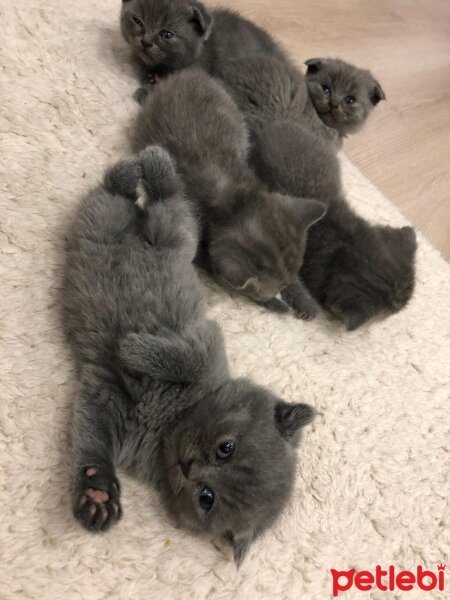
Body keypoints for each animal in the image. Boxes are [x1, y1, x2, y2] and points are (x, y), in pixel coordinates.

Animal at [62, 144, 316, 564]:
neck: (168, 421)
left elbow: (91, 445)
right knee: (159, 201)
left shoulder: (102, 403)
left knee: (129, 200)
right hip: (171, 236)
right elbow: (185, 359)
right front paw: (131, 348)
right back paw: (152, 163)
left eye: (206, 498)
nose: (188, 466)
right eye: (226, 448)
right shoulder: (207, 341)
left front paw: (97, 495)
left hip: (108, 223)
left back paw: (138, 173)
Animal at [132, 67, 326, 316]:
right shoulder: (202, 246)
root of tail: (192, 71)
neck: (237, 201)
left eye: (286, 282)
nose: (281, 290)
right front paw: (277, 304)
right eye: (278, 287)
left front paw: (303, 299)